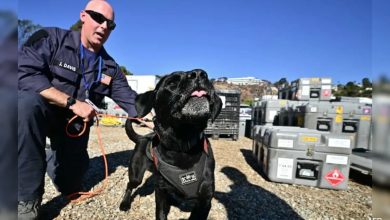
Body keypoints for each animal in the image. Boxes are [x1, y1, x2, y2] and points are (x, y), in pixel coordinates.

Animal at [119, 69, 222, 220]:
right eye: (172, 83)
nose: (199, 73)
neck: (182, 146)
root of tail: (142, 138)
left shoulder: (205, 199)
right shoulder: (161, 192)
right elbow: (161, 213)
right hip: (136, 173)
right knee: (130, 185)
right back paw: (125, 203)